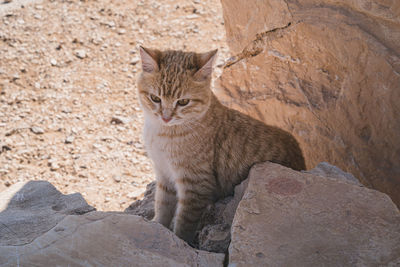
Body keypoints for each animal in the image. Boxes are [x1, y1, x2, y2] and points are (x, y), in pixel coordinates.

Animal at [136, 46, 304, 245]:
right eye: (155, 98)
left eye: (183, 101)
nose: (166, 117)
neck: (162, 132)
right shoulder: (164, 174)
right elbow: (163, 206)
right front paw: (158, 227)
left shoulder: (195, 184)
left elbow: (184, 221)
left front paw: (179, 239)